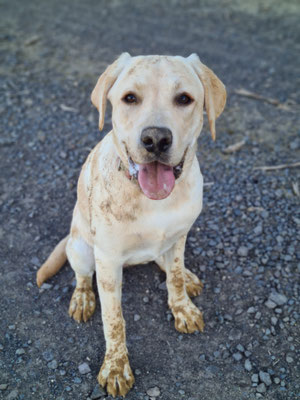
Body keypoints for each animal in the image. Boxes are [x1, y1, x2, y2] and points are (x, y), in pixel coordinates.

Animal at [36, 53, 226, 396]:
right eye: (129, 98)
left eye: (184, 99)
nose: (156, 139)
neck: (154, 200)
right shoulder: (108, 262)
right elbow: (114, 320)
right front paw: (115, 367)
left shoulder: (179, 236)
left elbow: (174, 278)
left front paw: (183, 307)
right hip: (81, 247)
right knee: (82, 276)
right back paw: (82, 298)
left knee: (167, 263)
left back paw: (188, 276)